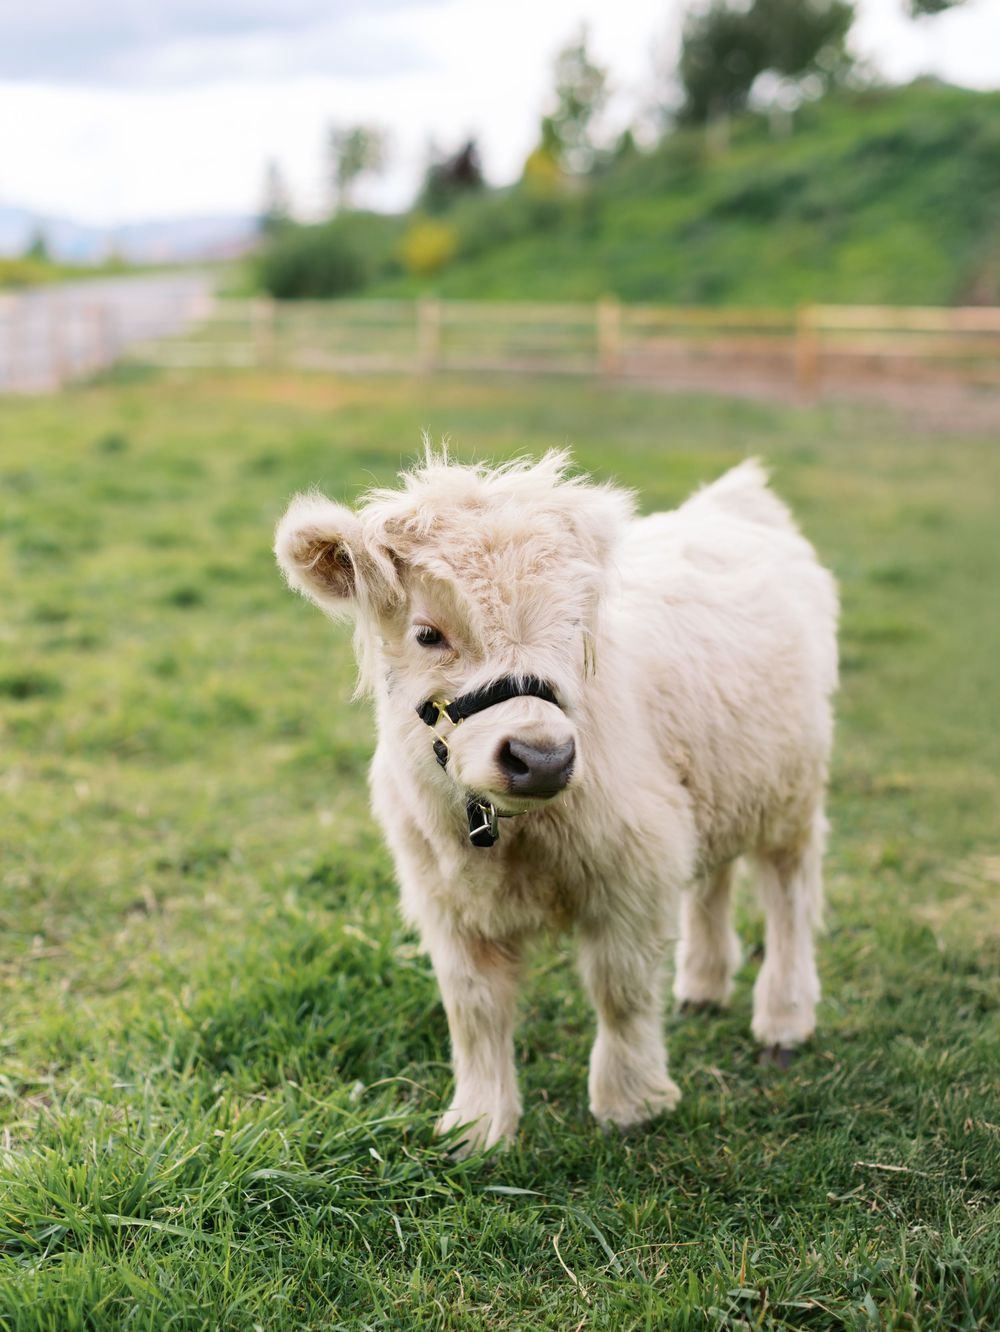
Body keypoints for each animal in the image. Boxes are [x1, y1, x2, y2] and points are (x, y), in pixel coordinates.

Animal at [275, 450, 838, 1153]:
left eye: (574, 628)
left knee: (790, 895)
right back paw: (704, 986)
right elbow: (474, 1007)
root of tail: (733, 503)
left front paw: (631, 1104)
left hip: (792, 794)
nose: (540, 757)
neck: (514, 839)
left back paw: (784, 1019)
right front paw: (479, 1127)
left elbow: (621, 992)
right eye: (428, 634)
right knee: (715, 878)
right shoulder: (445, 900)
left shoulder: (632, 874)